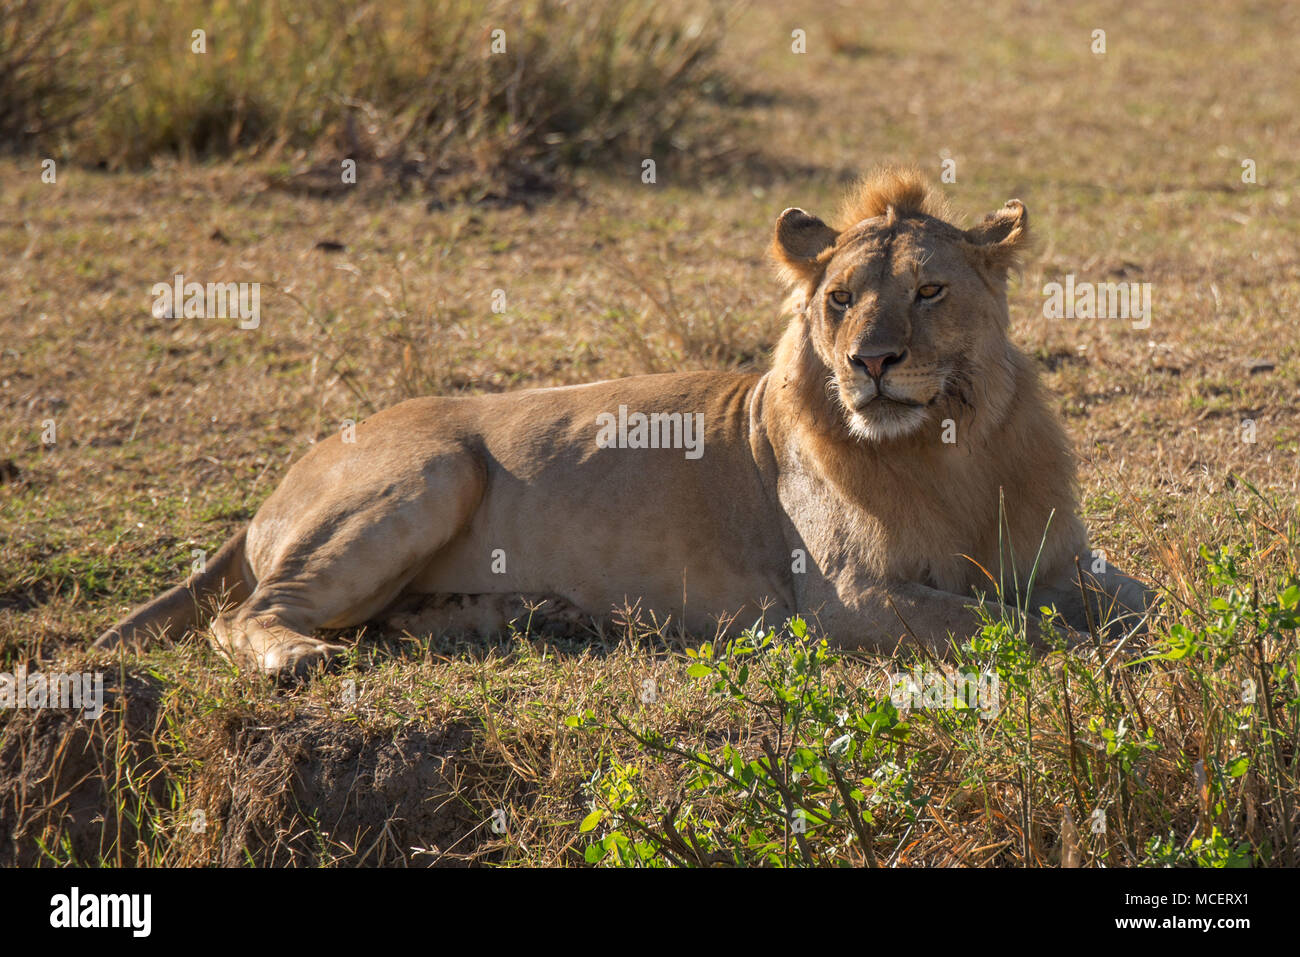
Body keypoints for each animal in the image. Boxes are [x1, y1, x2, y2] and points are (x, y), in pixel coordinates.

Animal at [98, 167, 1149, 676]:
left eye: (929, 291)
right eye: (841, 299)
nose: (871, 362)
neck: (951, 450)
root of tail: (279, 483)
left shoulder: (1066, 559)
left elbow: (1143, 603)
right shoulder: (847, 599)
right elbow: (1010, 624)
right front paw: (1089, 652)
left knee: (382, 619)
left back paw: (532, 616)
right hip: (430, 469)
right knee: (246, 614)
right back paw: (299, 659)